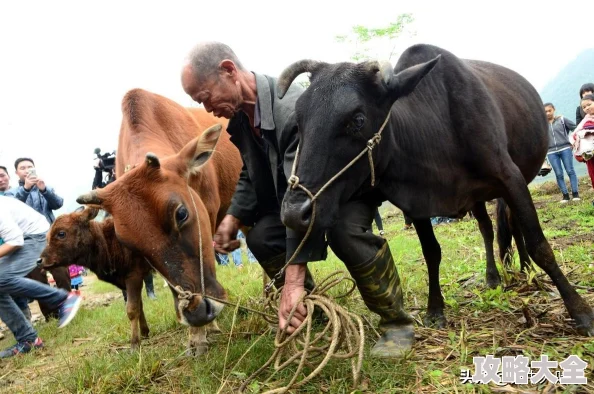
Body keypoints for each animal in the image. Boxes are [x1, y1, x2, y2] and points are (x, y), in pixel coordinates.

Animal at [278, 45, 592, 336]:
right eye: (299, 122)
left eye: (357, 120)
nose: (294, 214)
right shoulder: (418, 204)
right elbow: (432, 253)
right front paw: (435, 310)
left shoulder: (511, 179)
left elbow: (541, 245)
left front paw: (579, 310)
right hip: (478, 199)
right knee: (487, 229)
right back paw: (492, 276)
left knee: (513, 225)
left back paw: (525, 269)